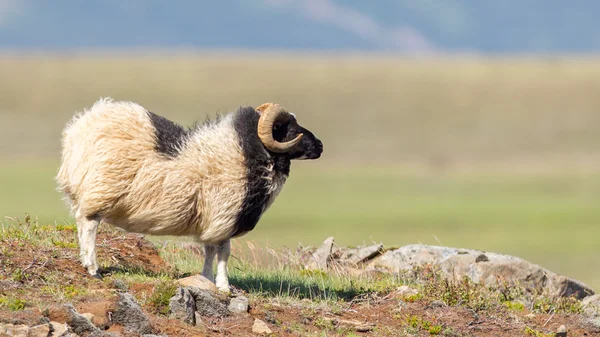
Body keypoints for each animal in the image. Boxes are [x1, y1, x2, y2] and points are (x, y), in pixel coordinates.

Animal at [55, 97, 324, 292]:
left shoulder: (211, 220)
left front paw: (206, 279)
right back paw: (93, 269)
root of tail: (77, 131)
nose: (320, 146)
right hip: (100, 190)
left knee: (83, 224)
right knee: (89, 226)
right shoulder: (224, 215)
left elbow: (209, 250)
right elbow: (224, 253)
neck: (246, 153)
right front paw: (224, 286)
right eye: (289, 129)